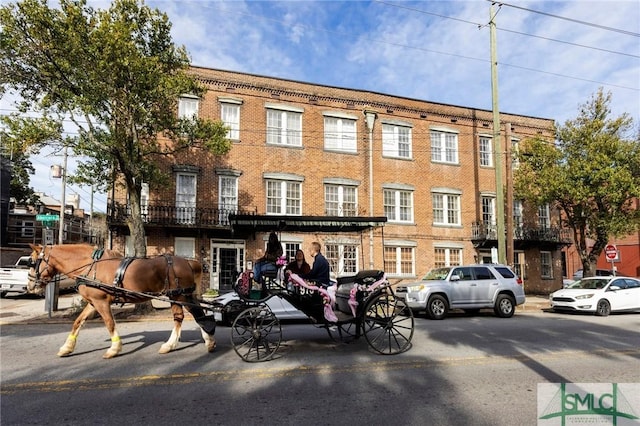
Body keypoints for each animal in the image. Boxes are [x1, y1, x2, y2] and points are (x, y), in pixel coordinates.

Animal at [27, 243, 216, 360]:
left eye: (33, 262)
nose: (30, 285)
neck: (90, 266)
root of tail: (188, 262)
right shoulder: (93, 302)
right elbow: (78, 322)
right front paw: (67, 347)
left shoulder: (101, 302)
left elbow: (110, 323)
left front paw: (114, 348)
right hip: (181, 295)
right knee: (197, 314)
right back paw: (207, 340)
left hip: (178, 296)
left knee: (183, 316)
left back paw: (171, 344)